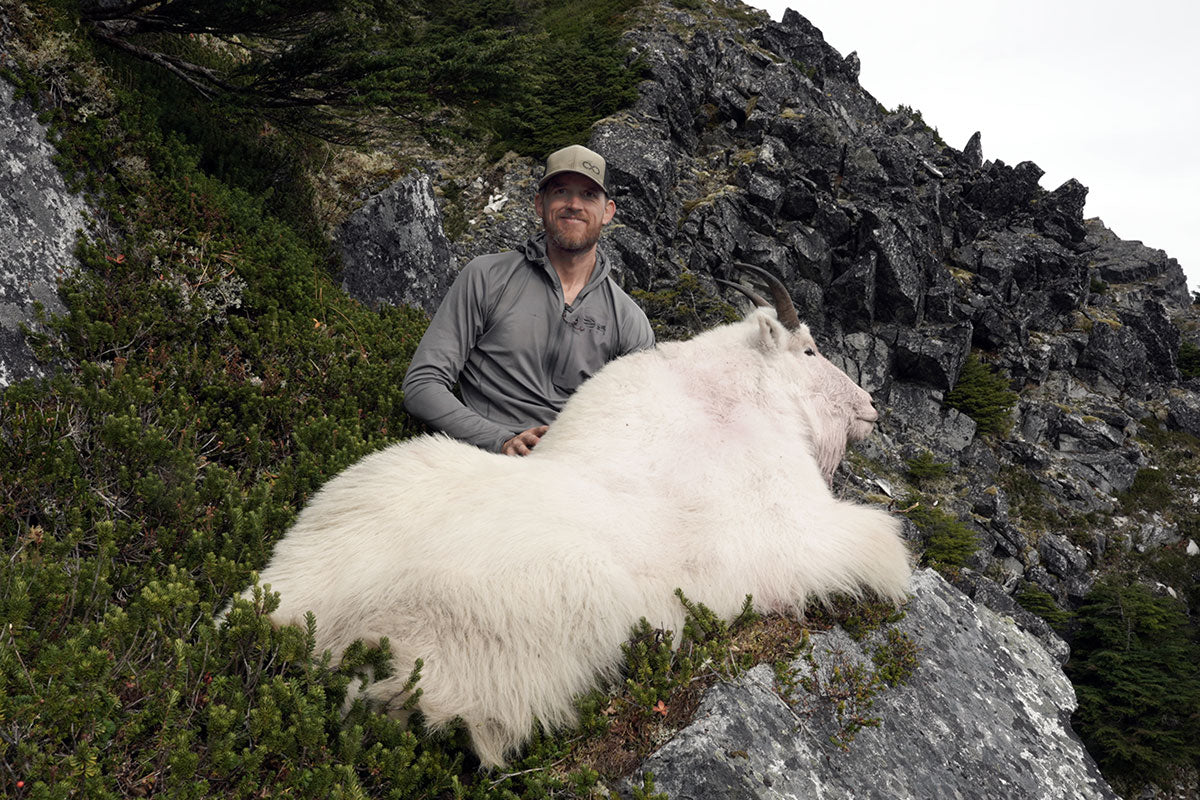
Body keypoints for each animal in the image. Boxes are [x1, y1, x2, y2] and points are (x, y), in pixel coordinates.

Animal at [243, 271, 907, 767]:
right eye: (810, 350)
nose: (872, 407)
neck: (737, 402)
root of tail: (306, 615)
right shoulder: (799, 534)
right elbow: (885, 544)